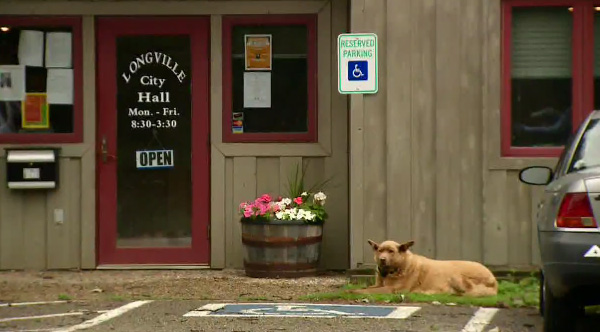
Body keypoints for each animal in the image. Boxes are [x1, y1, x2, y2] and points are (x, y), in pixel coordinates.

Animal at [350, 240, 500, 296]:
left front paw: (352, 292)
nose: (382, 259)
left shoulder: (392, 289)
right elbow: (366, 288)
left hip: (456, 277)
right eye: (380, 250)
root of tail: (494, 280)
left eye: (391, 251)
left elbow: (364, 291)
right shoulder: (379, 285)